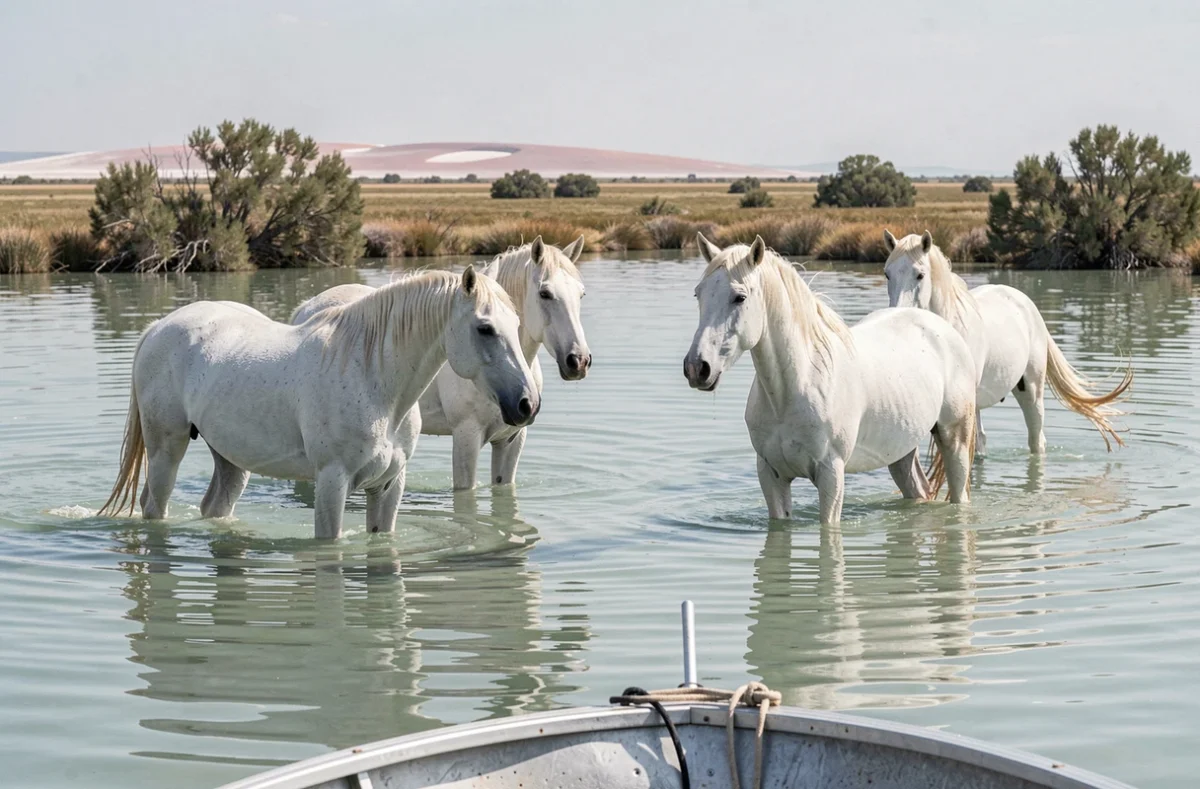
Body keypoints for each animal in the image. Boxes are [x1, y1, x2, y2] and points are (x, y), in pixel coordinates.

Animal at [99, 266, 539, 539]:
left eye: (518, 325)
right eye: (484, 328)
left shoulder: (388, 486)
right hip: (165, 450)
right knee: (154, 506)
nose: (527, 404)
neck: (374, 379)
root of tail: (159, 327)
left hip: (230, 458)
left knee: (215, 505)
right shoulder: (332, 481)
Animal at [291, 235, 591, 490]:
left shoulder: (511, 439)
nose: (578, 361)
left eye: (581, 294)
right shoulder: (466, 437)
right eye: (545, 293)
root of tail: (306, 307)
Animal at [684, 234, 978, 525]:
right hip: (901, 450)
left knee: (959, 494)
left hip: (955, 441)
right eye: (698, 293)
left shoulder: (831, 477)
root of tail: (940, 327)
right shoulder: (771, 476)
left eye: (740, 297)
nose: (697, 368)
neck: (796, 387)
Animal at [882, 230, 1132, 455]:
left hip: (1031, 389)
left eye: (920, 275)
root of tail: (1028, 305)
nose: (897, 314)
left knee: (1036, 439)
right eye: (887, 274)